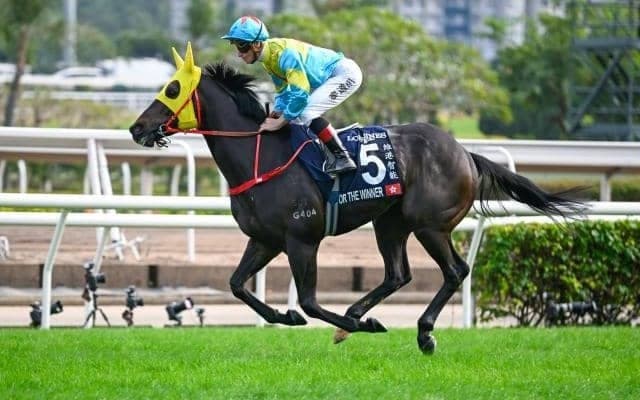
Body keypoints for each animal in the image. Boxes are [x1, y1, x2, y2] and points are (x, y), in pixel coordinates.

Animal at [129, 44, 584, 354]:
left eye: (172, 88)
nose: (136, 129)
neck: (261, 157)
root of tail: (464, 153)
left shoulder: (301, 239)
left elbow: (310, 302)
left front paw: (349, 322)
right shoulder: (266, 239)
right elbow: (238, 285)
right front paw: (283, 315)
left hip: (429, 225)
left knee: (455, 270)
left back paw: (419, 331)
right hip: (390, 222)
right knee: (398, 275)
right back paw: (352, 318)